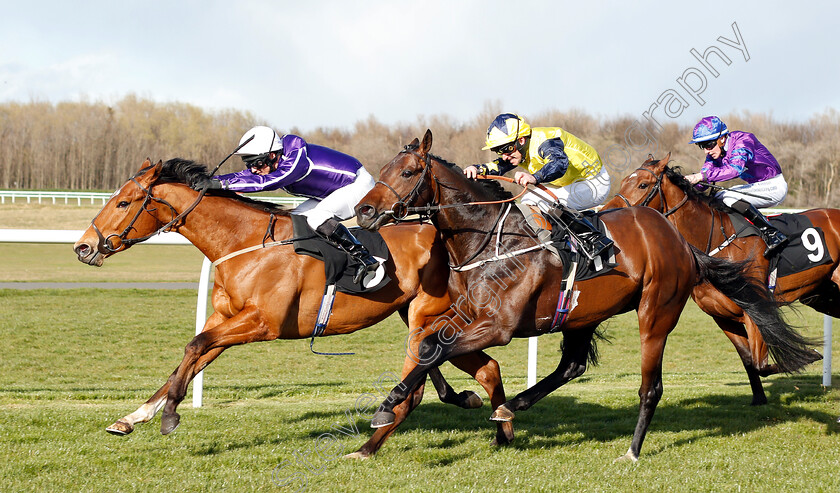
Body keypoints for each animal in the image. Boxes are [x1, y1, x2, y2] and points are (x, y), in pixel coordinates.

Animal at [74, 158, 520, 458]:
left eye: (123, 203)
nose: (83, 247)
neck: (244, 242)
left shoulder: (262, 323)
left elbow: (194, 346)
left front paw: (169, 416)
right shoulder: (226, 319)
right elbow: (189, 357)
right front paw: (133, 417)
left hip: (428, 318)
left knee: (424, 384)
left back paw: (371, 445)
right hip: (422, 318)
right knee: (482, 368)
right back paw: (493, 420)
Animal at [600, 155, 832, 404]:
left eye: (643, 184)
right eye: (625, 180)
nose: (607, 212)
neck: (715, 240)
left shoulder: (756, 311)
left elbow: (762, 363)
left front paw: (809, 355)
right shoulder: (722, 316)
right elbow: (750, 361)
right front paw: (759, 398)